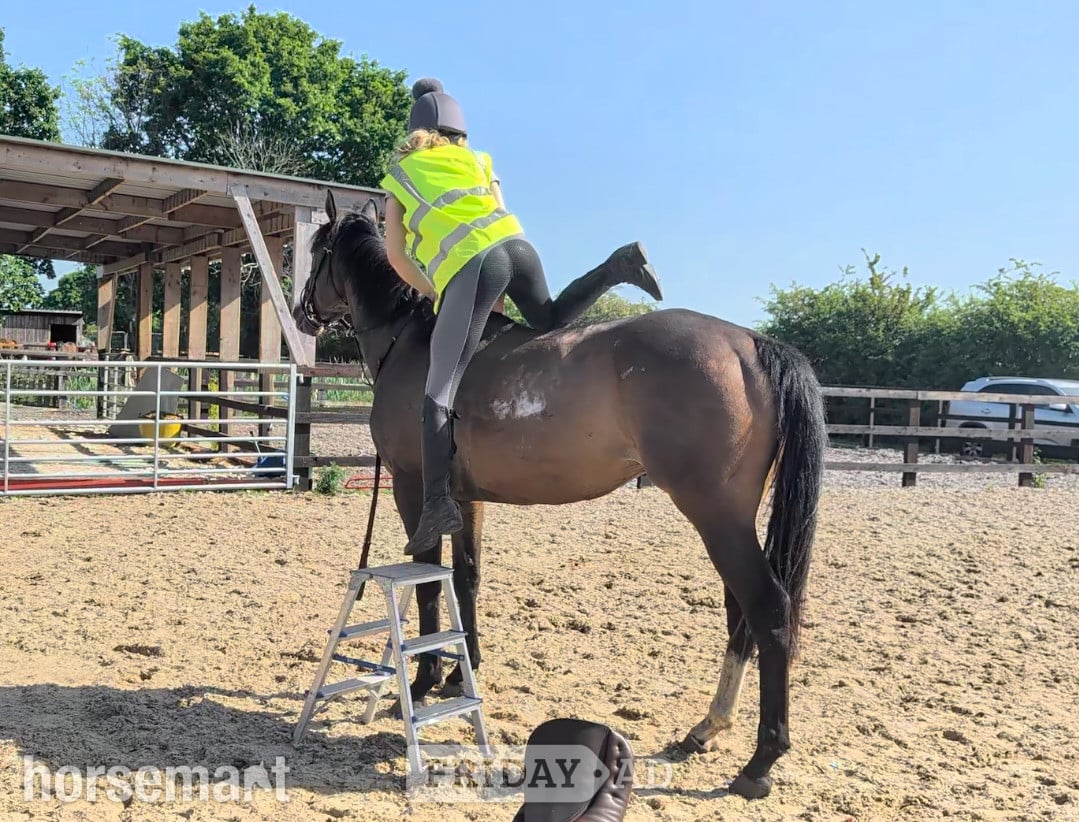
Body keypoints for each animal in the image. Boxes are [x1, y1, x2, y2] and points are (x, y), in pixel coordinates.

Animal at [293, 191, 827, 800]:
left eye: (316, 249)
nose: (301, 311)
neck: (409, 341)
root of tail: (749, 343)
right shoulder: (465, 499)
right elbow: (466, 578)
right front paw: (460, 672)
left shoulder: (411, 487)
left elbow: (428, 584)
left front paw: (426, 679)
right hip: (731, 521)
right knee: (741, 614)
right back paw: (706, 729)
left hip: (717, 517)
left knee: (768, 611)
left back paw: (760, 761)